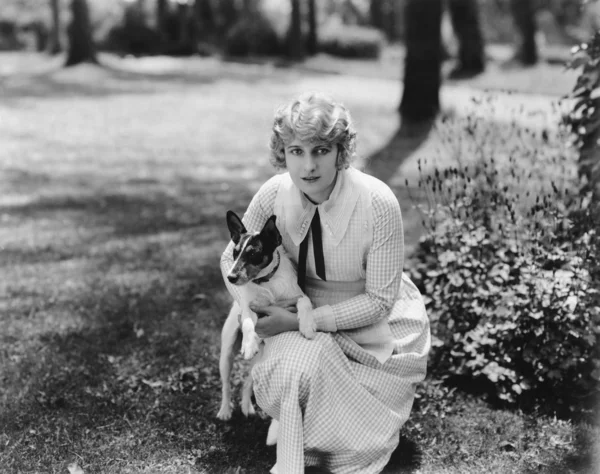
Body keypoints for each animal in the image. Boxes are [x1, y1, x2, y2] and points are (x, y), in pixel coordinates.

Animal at [217, 211, 318, 436]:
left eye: (254, 254)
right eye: (235, 253)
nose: (231, 277)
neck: (267, 283)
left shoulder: (296, 296)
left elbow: (305, 302)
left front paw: (307, 326)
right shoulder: (249, 308)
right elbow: (248, 323)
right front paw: (248, 343)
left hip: (260, 360)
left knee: (247, 383)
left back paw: (247, 407)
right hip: (226, 355)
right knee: (226, 385)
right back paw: (225, 410)